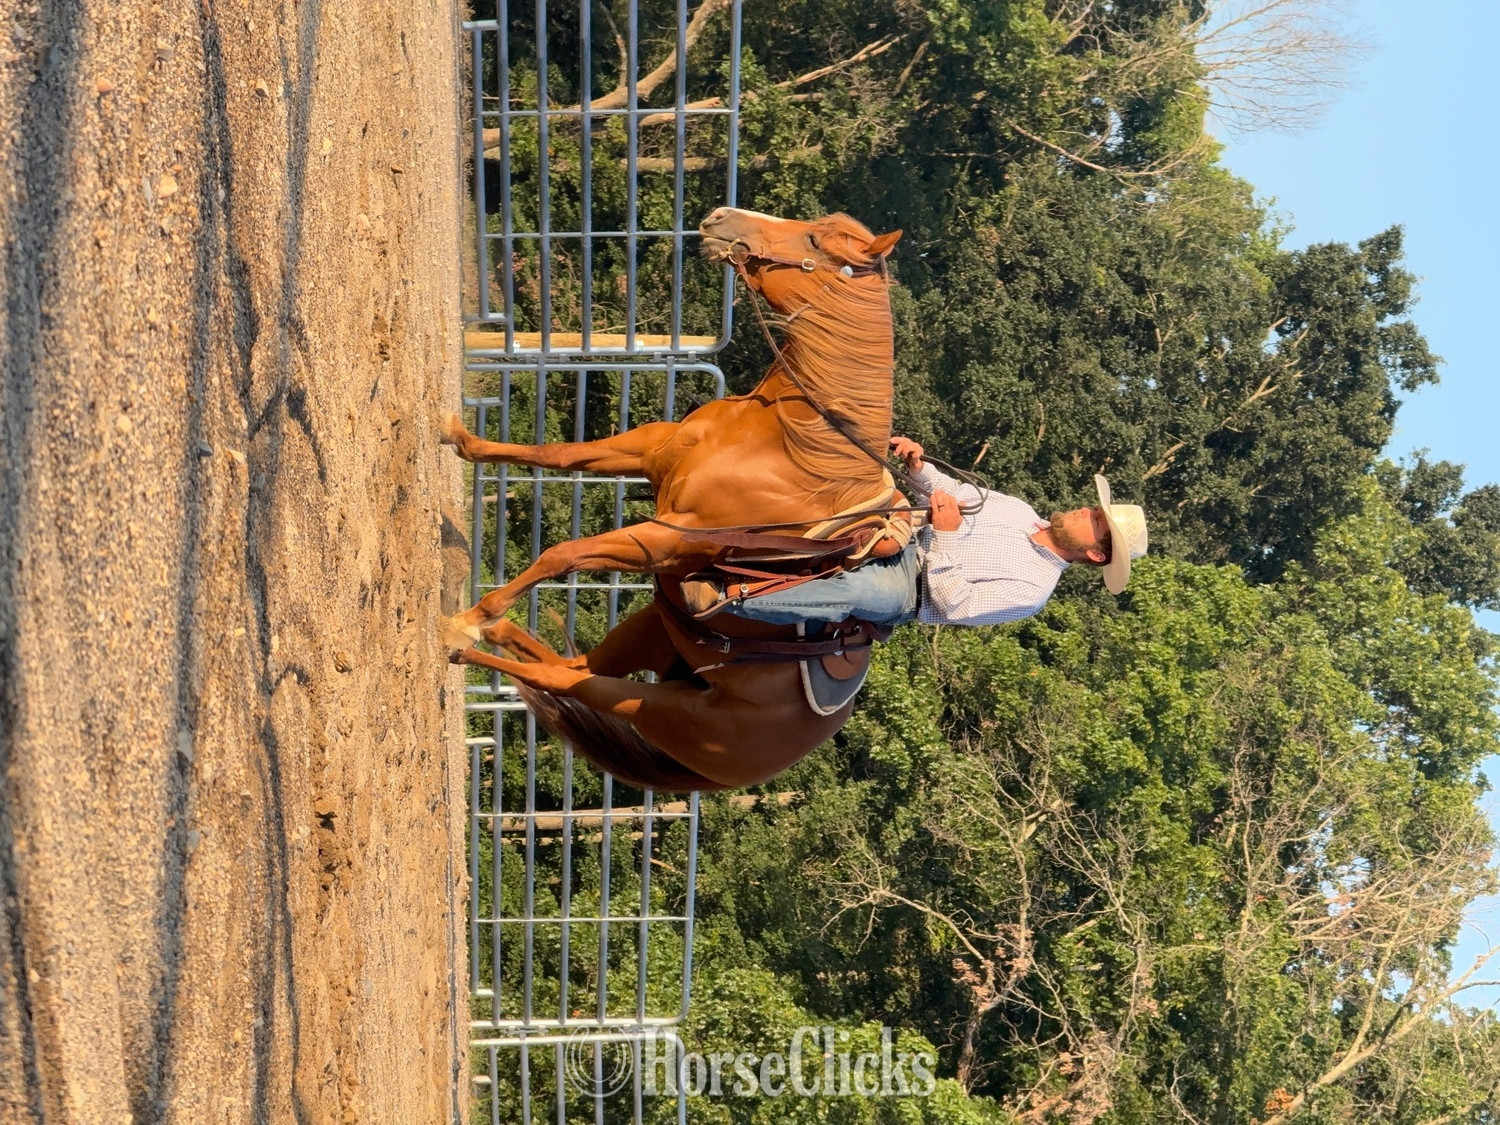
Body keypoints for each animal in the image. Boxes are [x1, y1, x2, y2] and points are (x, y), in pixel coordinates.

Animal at [441, 206, 903, 791]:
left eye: (815, 241)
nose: (722, 218)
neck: (789, 447)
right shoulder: (650, 452)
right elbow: (560, 455)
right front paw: (461, 438)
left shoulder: (667, 539)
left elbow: (563, 554)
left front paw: (472, 616)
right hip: (652, 632)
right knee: (575, 668)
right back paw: (499, 633)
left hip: (658, 708)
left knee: (571, 683)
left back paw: (464, 641)